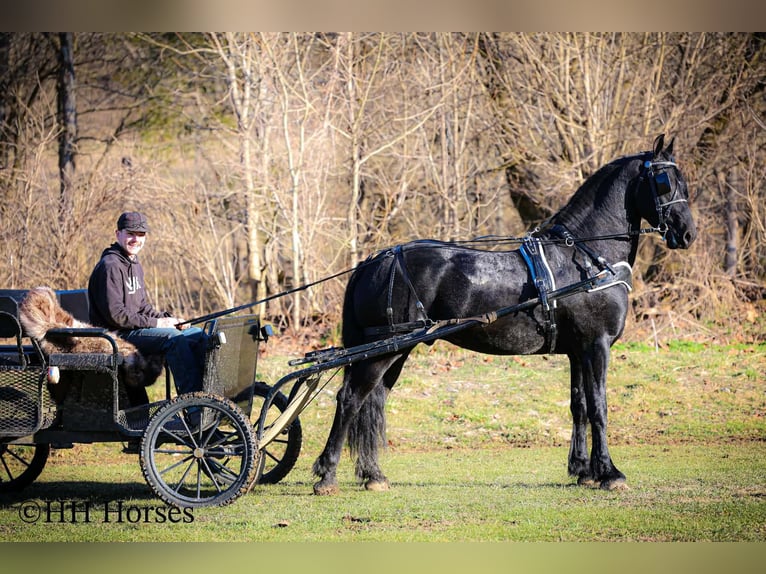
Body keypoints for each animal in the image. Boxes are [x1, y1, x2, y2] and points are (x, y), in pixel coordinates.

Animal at [312, 135, 697, 494]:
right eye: (664, 181)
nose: (687, 234)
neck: (586, 259)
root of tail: (375, 260)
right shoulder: (596, 345)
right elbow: (599, 407)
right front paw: (610, 473)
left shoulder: (577, 351)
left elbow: (580, 406)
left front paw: (583, 470)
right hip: (385, 350)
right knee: (350, 399)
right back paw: (326, 475)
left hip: (394, 351)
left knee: (372, 400)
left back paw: (373, 475)